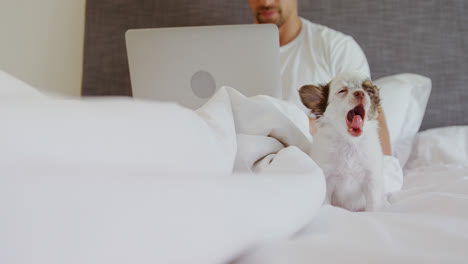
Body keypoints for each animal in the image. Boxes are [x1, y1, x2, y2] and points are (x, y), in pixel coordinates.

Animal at [302, 71, 386, 211]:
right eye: (342, 91)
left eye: (369, 91)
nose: (360, 93)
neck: (349, 143)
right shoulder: (327, 178)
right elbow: (325, 203)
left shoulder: (371, 179)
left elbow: (373, 204)